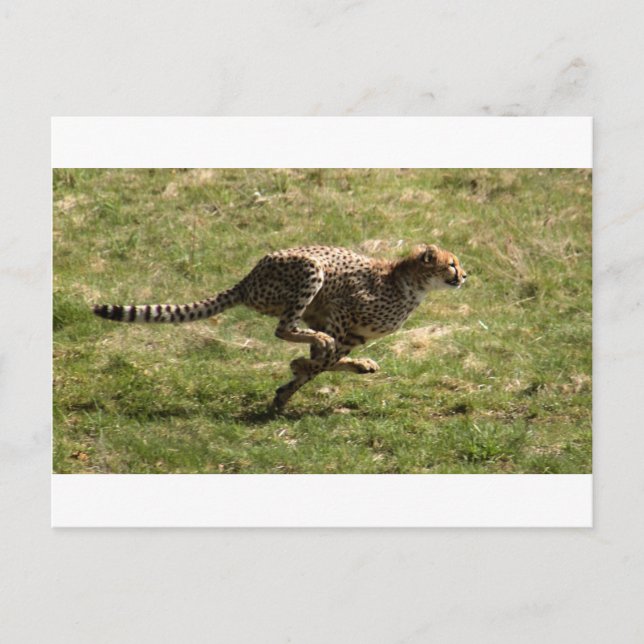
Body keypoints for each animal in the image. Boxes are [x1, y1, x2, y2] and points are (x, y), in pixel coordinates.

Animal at [93, 243, 467, 410]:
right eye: (451, 264)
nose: (465, 275)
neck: (409, 284)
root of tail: (247, 280)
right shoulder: (341, 310)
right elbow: (322, 358)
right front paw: (297, 369)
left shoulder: (347, 330)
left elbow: (325, 361)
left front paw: (288, 388)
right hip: (310, 270)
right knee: (283, 328)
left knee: (301, 334)